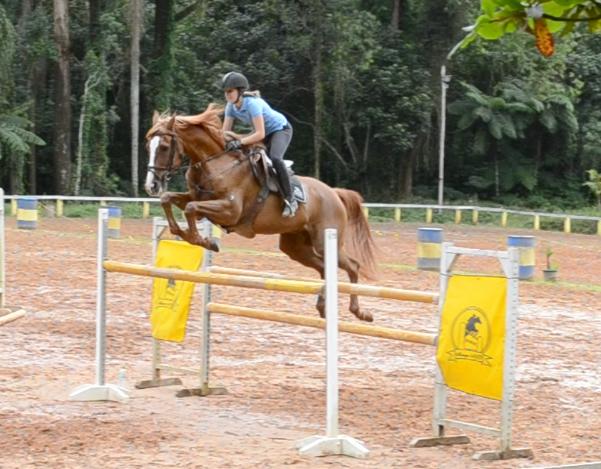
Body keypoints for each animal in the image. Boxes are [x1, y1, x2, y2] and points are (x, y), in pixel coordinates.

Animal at [144, 103, 378, 322]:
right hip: (295, 246)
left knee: (352, 266)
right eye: (148, 146)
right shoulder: (197, 198)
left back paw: (360, 312)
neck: (216, 164)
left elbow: (191, 209)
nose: (151, 185)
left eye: (164, 146)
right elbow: (171, 200)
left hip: (325, 240)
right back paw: (323, 307)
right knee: (324, 268)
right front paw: (185, 234)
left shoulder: (231, 211)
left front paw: (204, 241)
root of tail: (334, 193)